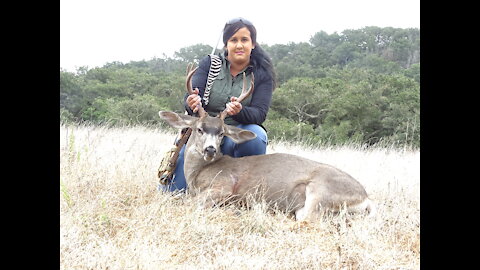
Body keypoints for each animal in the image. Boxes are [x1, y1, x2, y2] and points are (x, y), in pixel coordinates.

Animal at [158, 63, 376, 221]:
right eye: (199, 129)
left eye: (221, 133)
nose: (210, 149)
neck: (197, 174)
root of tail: (366, 199)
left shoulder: (224, 186)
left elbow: (189, 202)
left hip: (321, 191)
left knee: (307, 219)